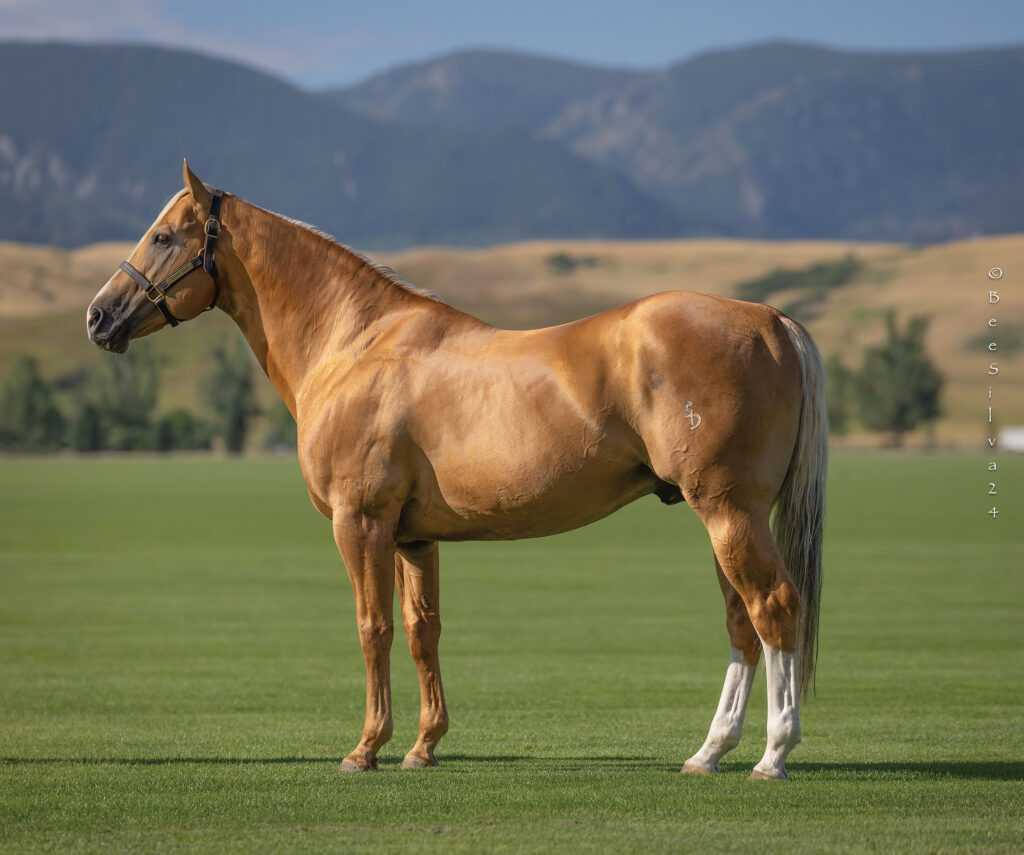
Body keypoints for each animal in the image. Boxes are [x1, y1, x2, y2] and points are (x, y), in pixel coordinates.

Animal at [87, 161, 827, 780]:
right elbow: (423, 631)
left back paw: (773, 754)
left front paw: (366, 748)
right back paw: (709, 752)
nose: (98, 316)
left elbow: (373, 628)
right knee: (741, 624)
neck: (355, 344)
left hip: (729, 513)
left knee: (774, 608)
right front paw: (422, 747)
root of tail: (771, 319)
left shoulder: (362, 524)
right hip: (724, 519)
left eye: (162, 236)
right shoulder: (414, 537)